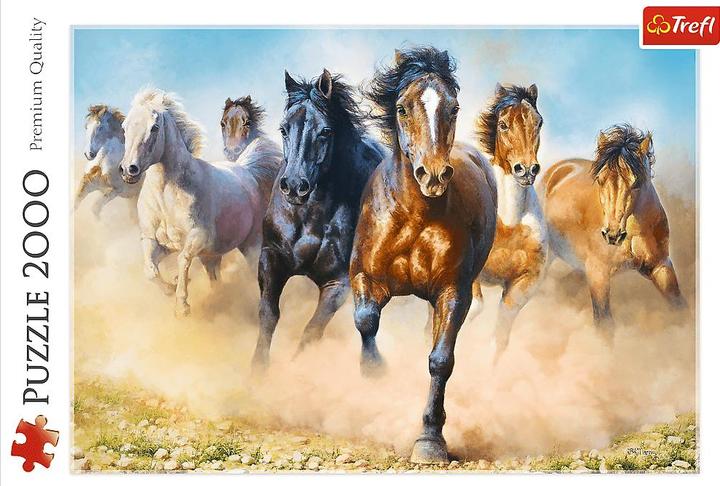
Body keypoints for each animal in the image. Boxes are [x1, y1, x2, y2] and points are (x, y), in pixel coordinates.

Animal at [119, 88, 282, 317]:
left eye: (154, 127)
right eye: (124, 128)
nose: (128, 170)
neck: (165, 196)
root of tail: (245, 169)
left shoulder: (198, 238)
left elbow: (182, 259)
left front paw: (182, 305)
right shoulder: (154, 240)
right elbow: (150, 270)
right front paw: (170, 288)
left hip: (251, 244)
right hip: (211, 256)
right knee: (216, 281)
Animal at [251, 69, 385, 369]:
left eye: (325, 131)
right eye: (284, 129)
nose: (294, 186)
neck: (307, 217)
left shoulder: (337, 284)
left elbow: (312, 330)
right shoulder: (270, 258)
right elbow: (268, 315)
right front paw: (257, 371)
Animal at [350, 47, 497, 464]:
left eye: (454, 107)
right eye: (402, 108)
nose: (433, 175)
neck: (415, 215)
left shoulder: (453, 292)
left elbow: (440, 359)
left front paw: (430, 440)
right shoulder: (365, 276)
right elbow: (365, 320)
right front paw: (374, 376)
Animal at [542, 123, 686, 329]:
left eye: (636, 181)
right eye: (600, 179)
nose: (612, 235)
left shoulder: (661, 267)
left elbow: (681, 309)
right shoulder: (598, 274)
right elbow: (604, 324)